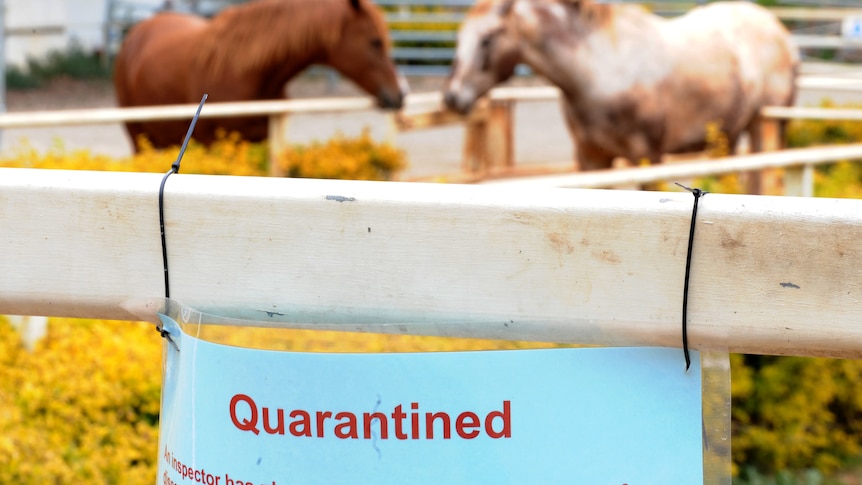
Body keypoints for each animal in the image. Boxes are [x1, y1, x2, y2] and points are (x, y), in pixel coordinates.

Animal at [448, 0, 800, 171]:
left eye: (487, 39)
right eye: (460, 36)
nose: (452, 98)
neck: (600, 69)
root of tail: (782, 33)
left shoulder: (648, 157)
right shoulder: (591, 158)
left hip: (764, 129)